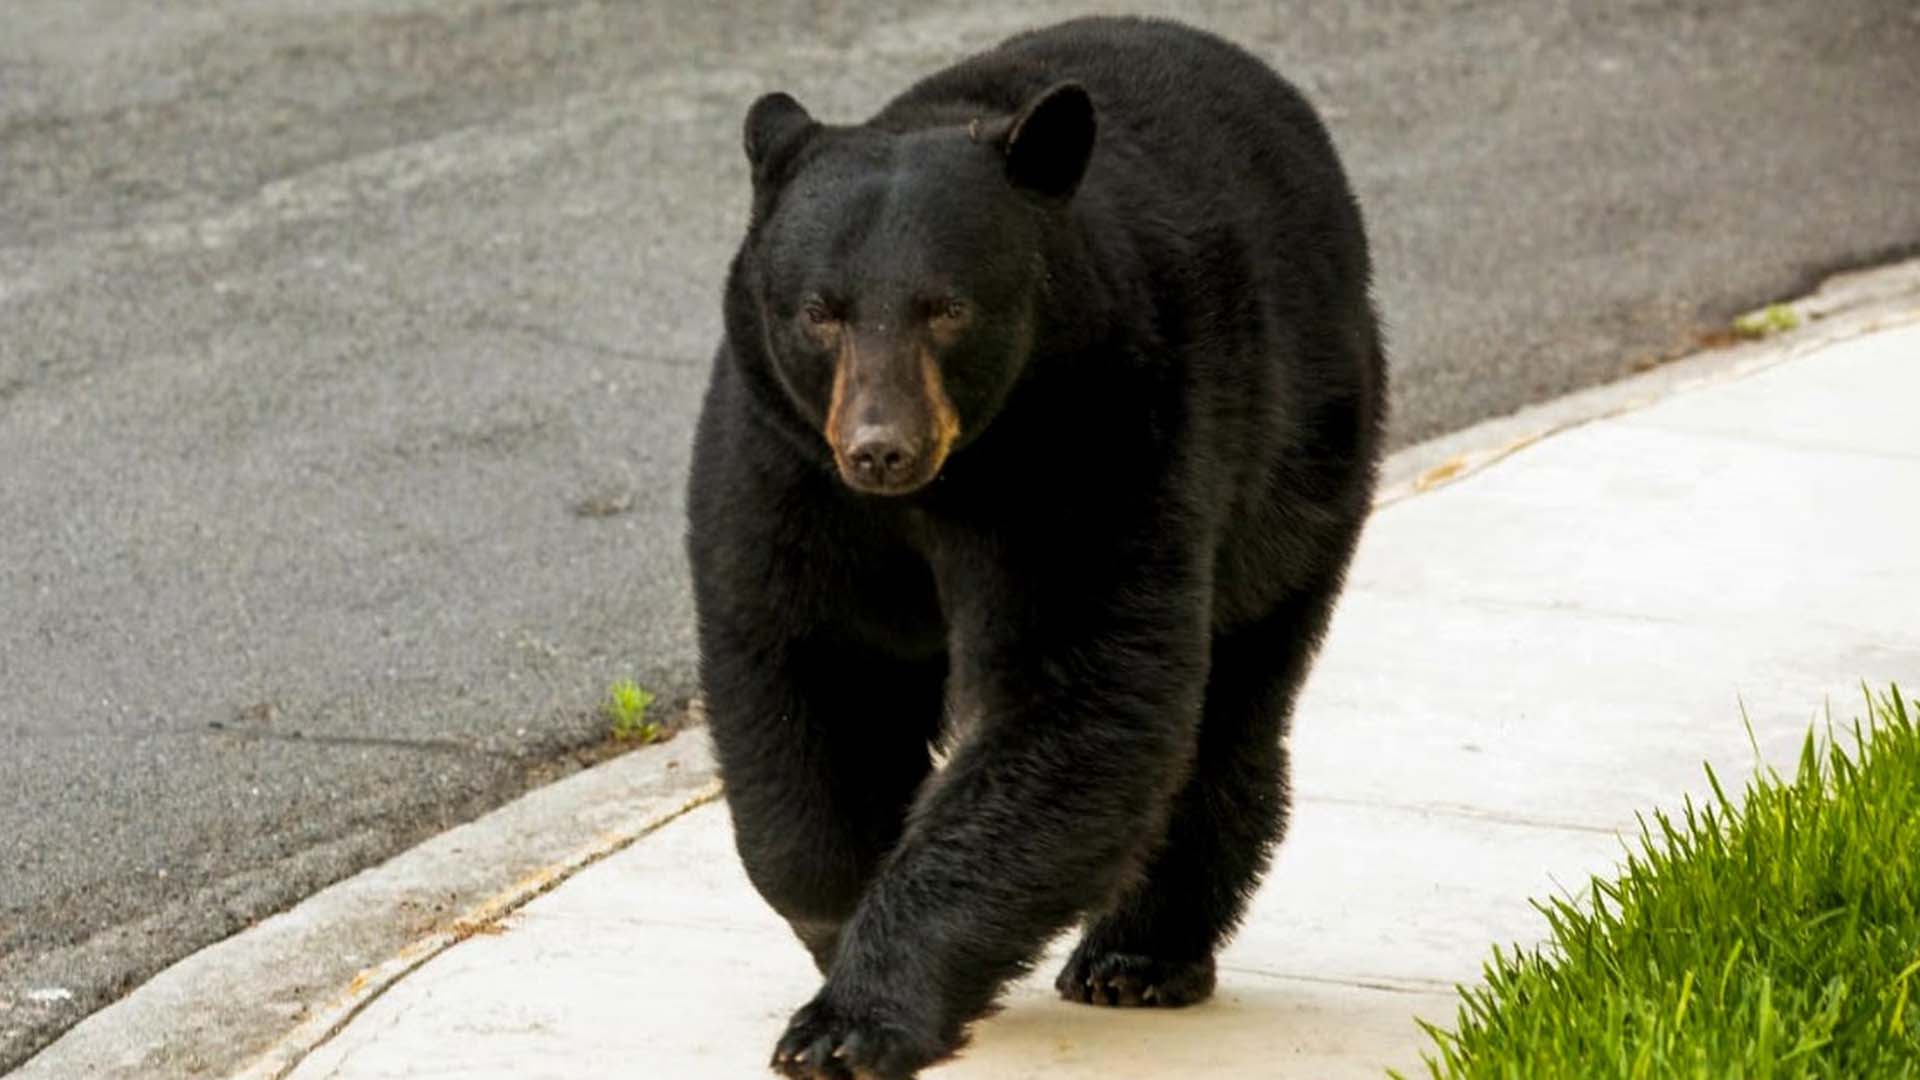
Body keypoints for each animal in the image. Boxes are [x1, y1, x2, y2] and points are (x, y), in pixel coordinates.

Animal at [686, 16, 1385, 1079]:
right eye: (819, 310)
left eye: (947, 307)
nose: (881, 447)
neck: (949, 483)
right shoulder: (786, 465)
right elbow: (806, 668)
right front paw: (838, 925)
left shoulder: (1098, 439)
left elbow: (1077, 697)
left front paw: (853, 1017)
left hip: (1302, 463)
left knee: (1231, 703)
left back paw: (1142, 953)